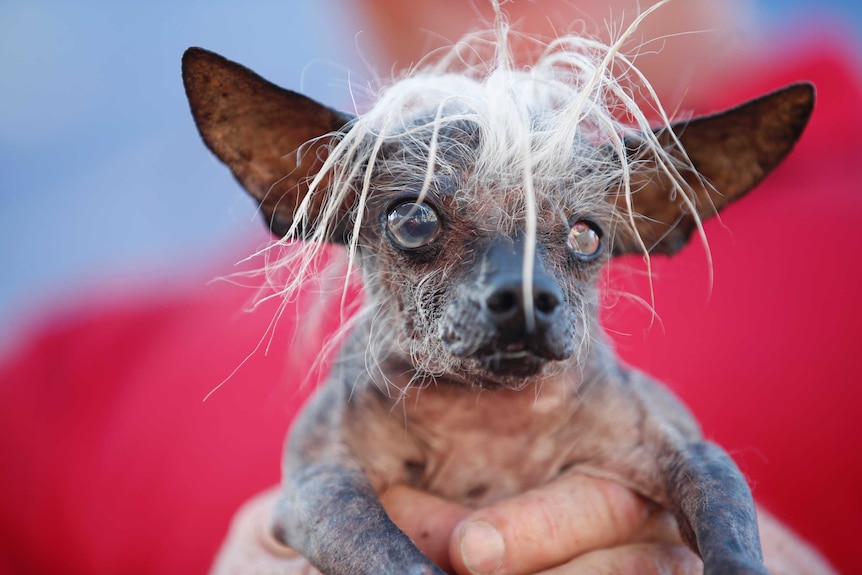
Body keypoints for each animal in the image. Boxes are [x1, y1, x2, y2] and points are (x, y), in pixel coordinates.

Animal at [182, 6, 816, 572]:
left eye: (587, 235)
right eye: (413, 220)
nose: (526, 298)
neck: (487, 421)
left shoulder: (689, 450)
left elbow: (727, 523)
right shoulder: (319, 484)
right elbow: (387, 552)